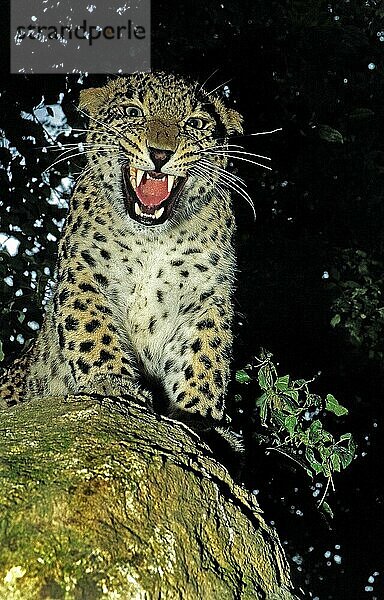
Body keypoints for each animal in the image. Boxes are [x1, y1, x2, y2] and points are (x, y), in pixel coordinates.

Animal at [0, 72, 244, 434]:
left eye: (196, 123)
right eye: (132, 112)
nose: (160, 154)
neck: (153, 240)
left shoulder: (207, 295)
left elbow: (205, 352)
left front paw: (199, 418)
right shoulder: (84, 270)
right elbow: (90, 323)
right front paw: (113, 383)